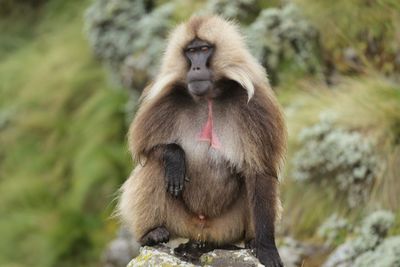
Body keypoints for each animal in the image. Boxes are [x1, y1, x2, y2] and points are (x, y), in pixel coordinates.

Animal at [117, 15, 286, 267]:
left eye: (204, 49)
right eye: (190, 51)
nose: (196, 67)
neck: (208, 98)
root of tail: (203, 236)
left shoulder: (256, 108)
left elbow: (260, 172)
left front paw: (266, 249)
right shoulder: (165, 102)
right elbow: (146, 150)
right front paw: (175, 156)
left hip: (227, 227)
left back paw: (252, 241)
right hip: (181, 223)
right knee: (155, 166)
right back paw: (152, 233)